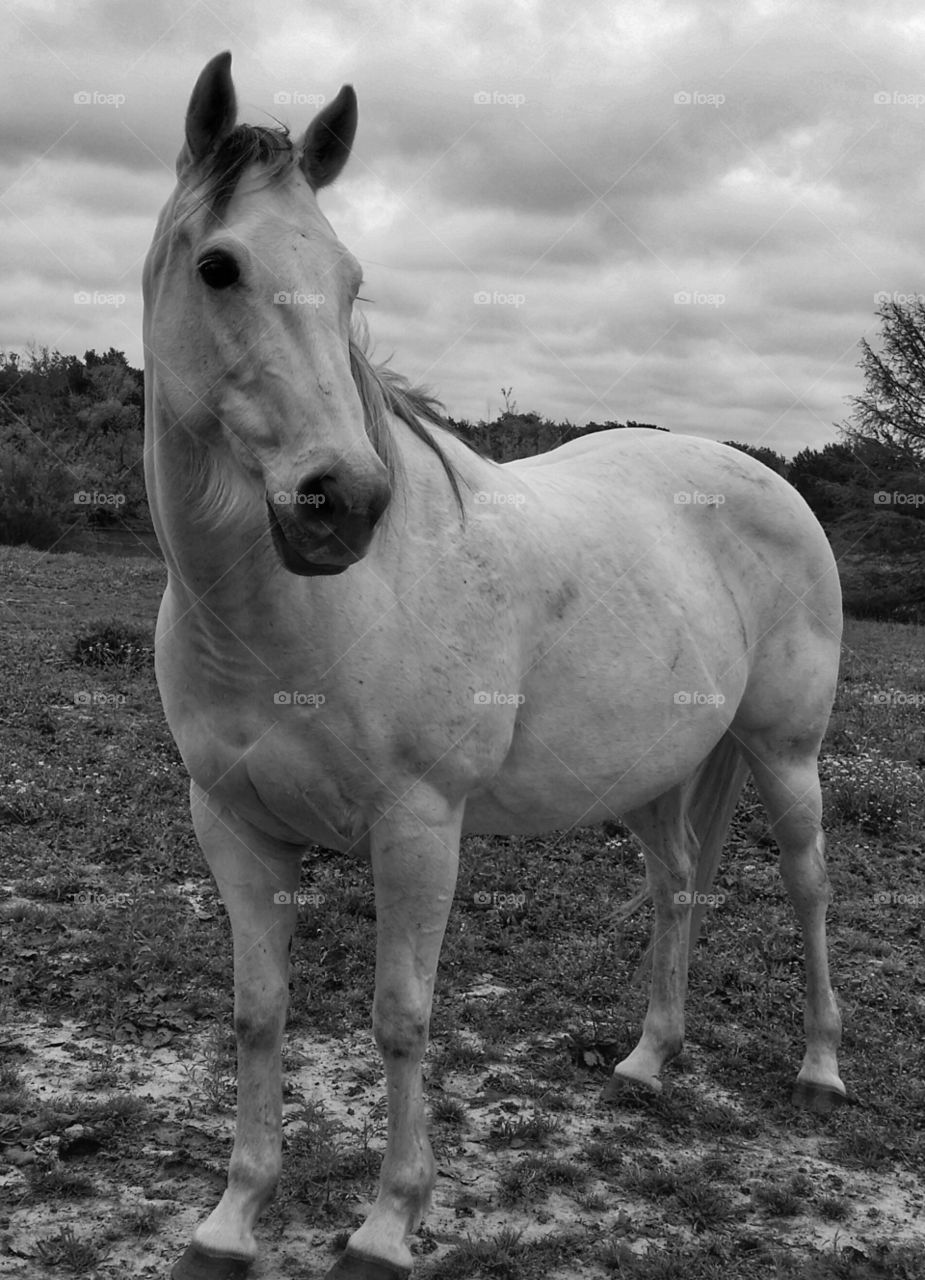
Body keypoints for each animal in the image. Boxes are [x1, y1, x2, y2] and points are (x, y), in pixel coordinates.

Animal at [144, 49, 844, 1280]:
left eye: (349, 279)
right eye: (218, 265)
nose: (342, 502)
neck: (299, 618)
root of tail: (762, 476)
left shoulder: (419, 826)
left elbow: (401, 1017)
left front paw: (387, 1223)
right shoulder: (231, 823)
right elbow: (257, 1012)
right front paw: (231, 1220)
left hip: (783, 751)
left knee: (806, 884)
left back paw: (818, 1069)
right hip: (653, 773)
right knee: (675, 882)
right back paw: (647, 1059)